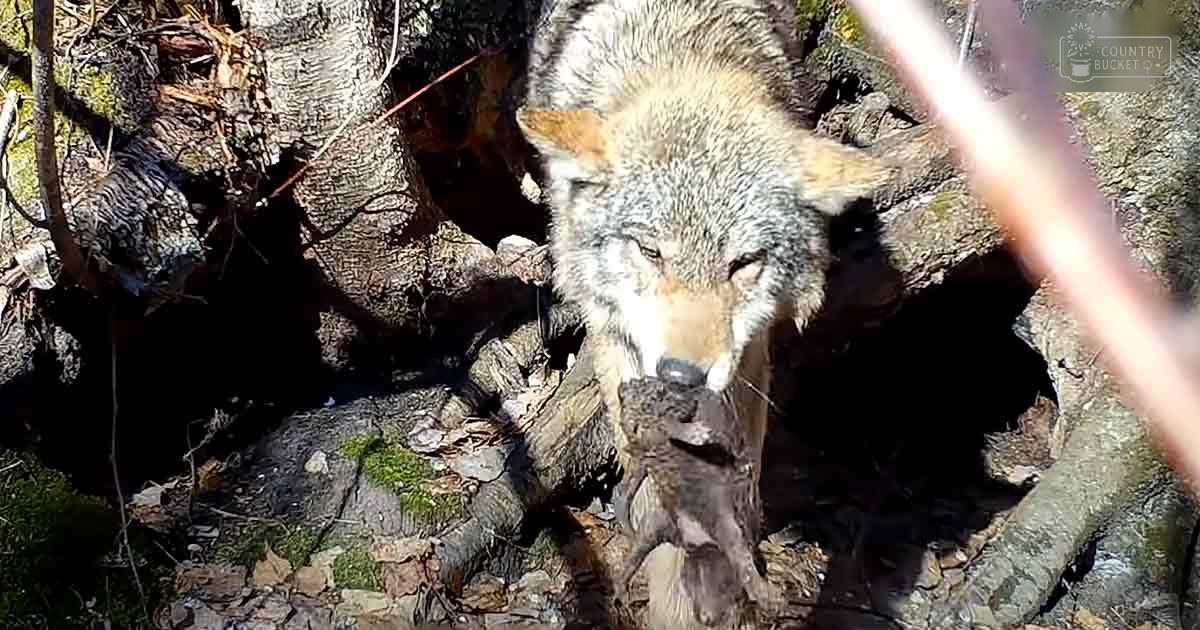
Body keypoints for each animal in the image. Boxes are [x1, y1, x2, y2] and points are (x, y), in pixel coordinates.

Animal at [515, 0, 894, 627]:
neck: (681, 54)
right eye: (651, 252)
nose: (681, 376)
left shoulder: (749, 356)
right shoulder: (619, 343)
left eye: (742, 263)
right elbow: (655, 494)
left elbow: (741, 480)